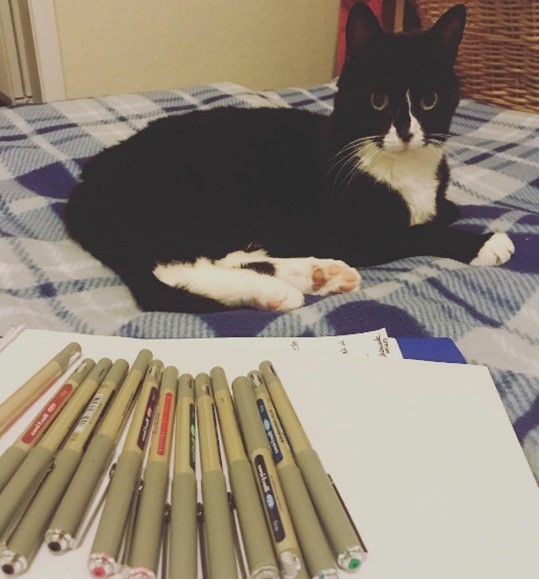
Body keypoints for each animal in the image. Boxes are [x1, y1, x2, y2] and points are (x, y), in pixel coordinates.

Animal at [63, 3, 516, 312]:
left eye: (428, 100)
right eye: (378, 100)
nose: (405, 132)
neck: (402, 172)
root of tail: (85, 187)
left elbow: (441, 212)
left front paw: (451, 212)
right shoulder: (358, 235)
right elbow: (417, 234)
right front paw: (483, 242)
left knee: (234, 255)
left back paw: (318, 274)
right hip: (198, 198)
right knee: (173, 267)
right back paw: (278, 291)